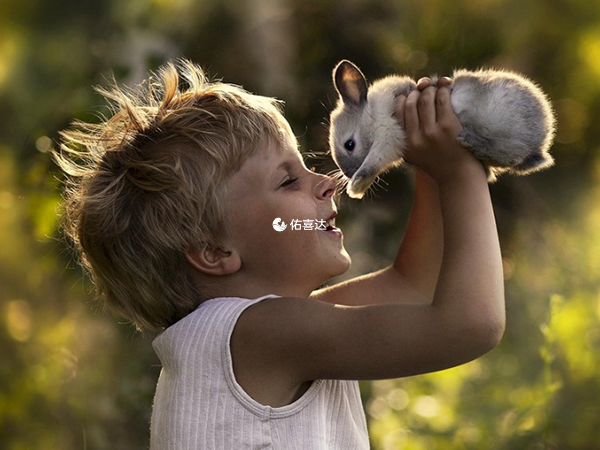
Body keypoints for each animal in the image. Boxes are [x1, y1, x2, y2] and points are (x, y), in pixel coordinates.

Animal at [330, 60, 556, 199]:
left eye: (349, 145)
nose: (348, 174)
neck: (370, 115)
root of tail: (541, 143)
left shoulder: (389, 134)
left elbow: (374, 161)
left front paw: (355, 187)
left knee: (511, 153)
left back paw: (471, 140)